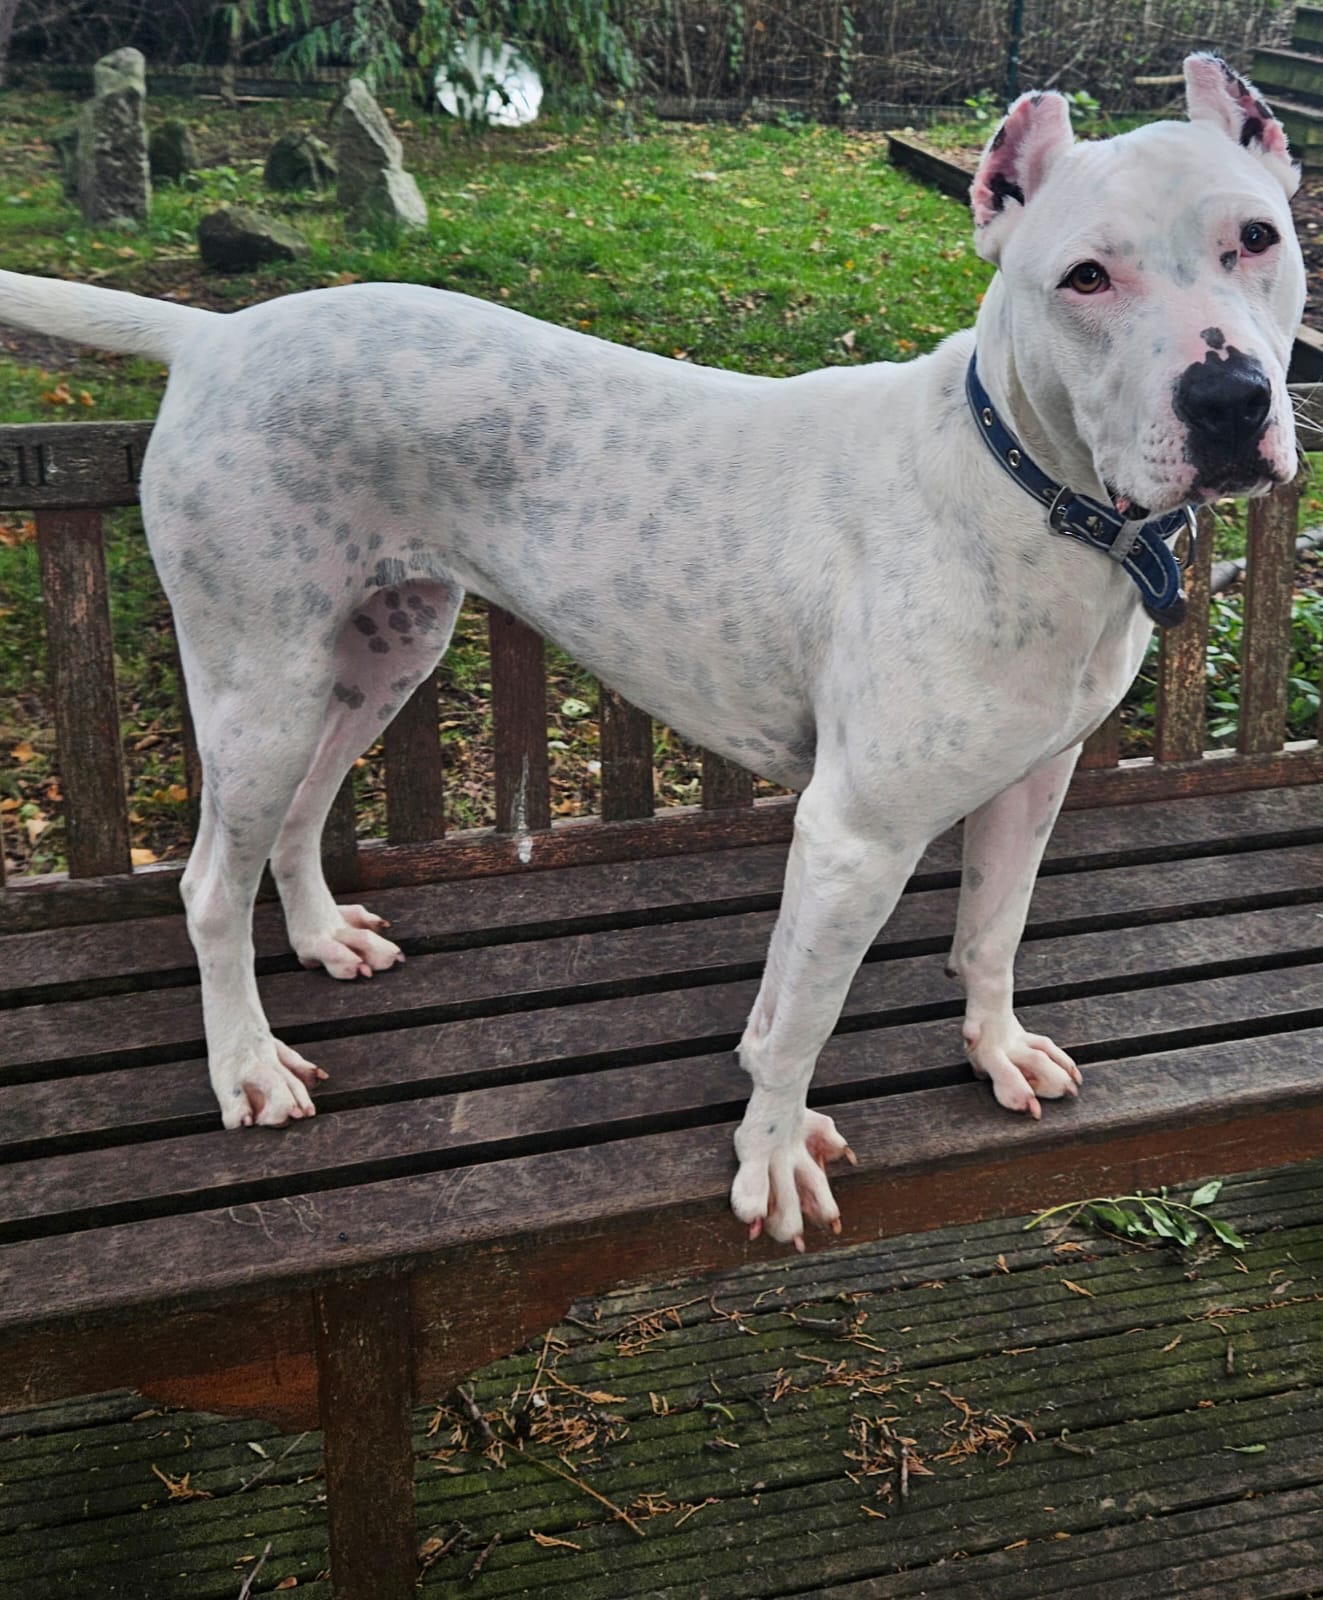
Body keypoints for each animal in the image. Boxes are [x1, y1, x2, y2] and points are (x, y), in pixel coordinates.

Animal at [2, 50, 1305, 1248]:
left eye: (1259, 236)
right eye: (1085, 275)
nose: (1230, 400)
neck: (1031, 488)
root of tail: (216, 334)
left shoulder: (1032, 783)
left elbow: (987, 934)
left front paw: (993, 1051)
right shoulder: (855, 835)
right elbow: (801, 1021)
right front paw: (772, 1154)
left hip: (380, 651)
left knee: (303, 813)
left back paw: (324, 939)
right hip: (258, 685)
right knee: (209, 882)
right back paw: (247, 1067)